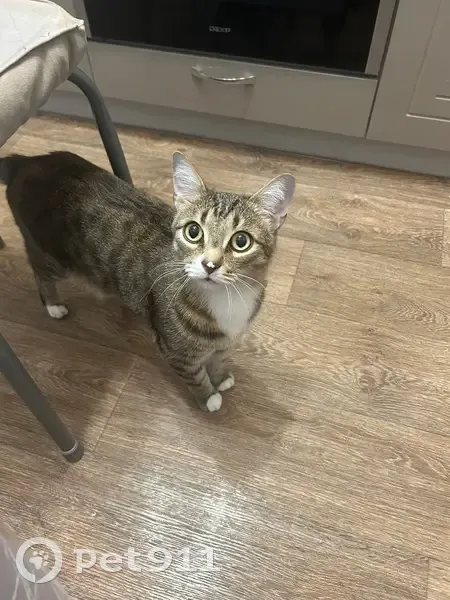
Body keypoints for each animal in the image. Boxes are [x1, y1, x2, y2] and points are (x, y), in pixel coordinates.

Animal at [0, 150, 295, 412]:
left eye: (241, 241)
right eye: (193, 231)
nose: (210, 265)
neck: (226, 299)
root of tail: (26, 162)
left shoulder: (226, 343)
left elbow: (217, 361)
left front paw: (220, 378)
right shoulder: (177, 353)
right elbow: (196, 376)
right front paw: (209, 397)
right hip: (53, 257)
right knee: (39, 272)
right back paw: (53, 305)